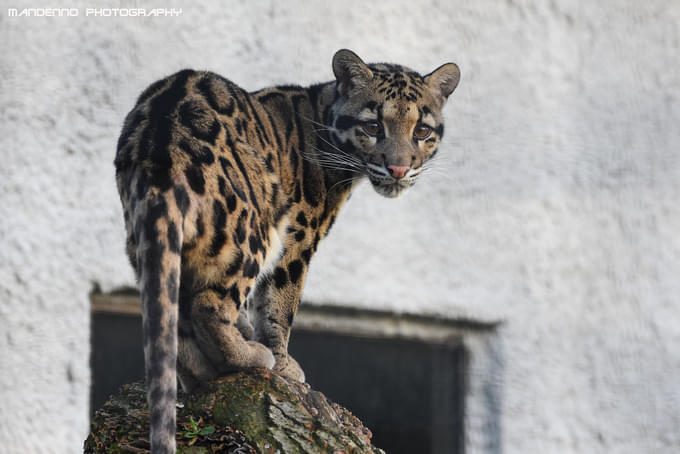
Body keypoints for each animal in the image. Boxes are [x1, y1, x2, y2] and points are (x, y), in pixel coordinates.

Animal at [114, 48, 460, 452]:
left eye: (422, 131)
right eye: (374, 126)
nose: (399, 169)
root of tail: (161, 142)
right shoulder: (299, 237)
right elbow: (279, 305)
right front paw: (283, 363)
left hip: (148, 242)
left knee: (173, 312)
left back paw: (200, 372)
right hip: (254, 225)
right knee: (209, 304)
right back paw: (248, 357)